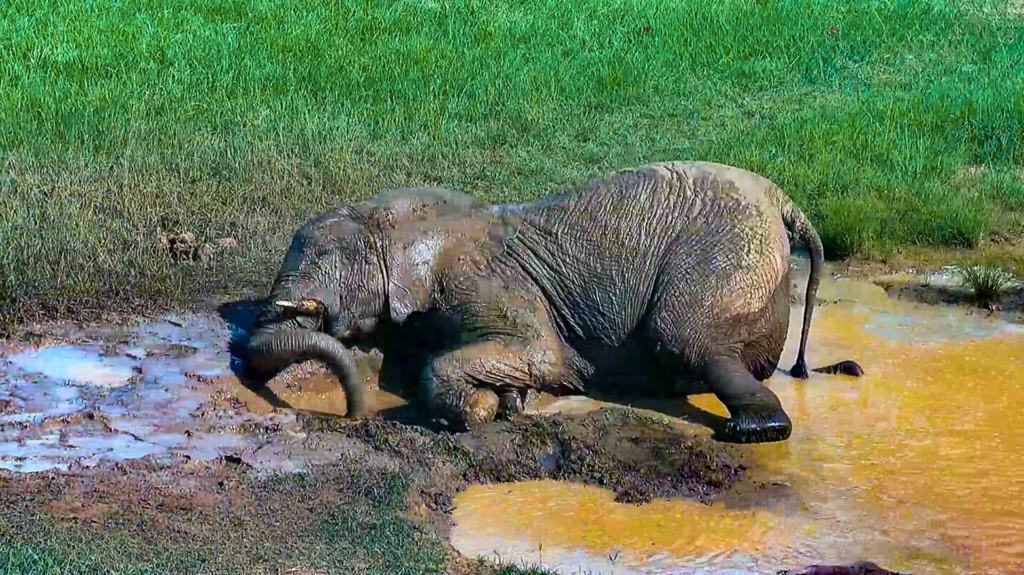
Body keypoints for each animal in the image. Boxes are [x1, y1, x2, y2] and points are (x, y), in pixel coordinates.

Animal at [243, 162, 863, 444]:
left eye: (320, 258)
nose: (351, 413)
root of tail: (783, 201)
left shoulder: (483, 278)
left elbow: (541, 352)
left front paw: (481, 411)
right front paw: (509, 401)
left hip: (728, 250)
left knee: (682, 336)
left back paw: (753, 432)